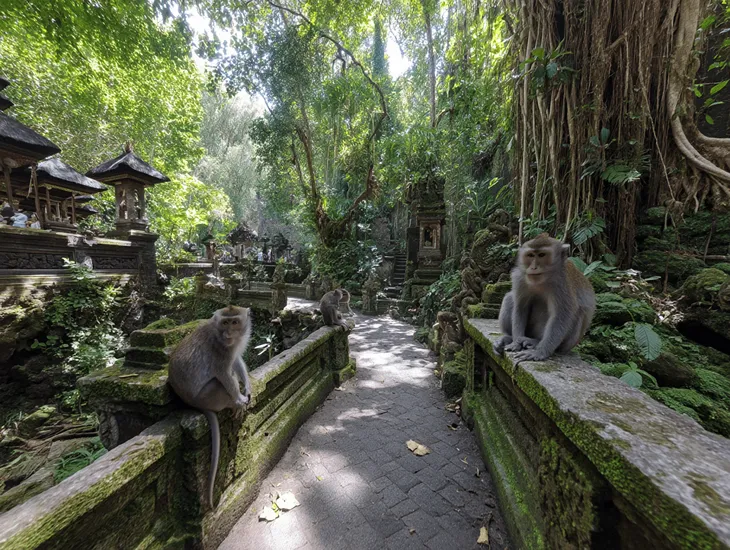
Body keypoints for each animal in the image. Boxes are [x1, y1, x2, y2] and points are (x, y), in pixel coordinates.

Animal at [167, 306, 252, 508]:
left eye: (234, 322)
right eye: (225, 322)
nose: (228, 333)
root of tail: (194, 404)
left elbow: (237, 360)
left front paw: (247, 386)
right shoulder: (220, 350)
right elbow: (224, 373)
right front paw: (239, 399)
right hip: (208, 397)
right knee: (219, 383)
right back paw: (234, 403)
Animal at [494, 233, 596, 362]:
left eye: (542, 255)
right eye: (531, 255)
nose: (533, 267)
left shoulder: (562, 284)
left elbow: (562, 315)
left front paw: (540, 352)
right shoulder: (520, 278)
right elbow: (521, 307)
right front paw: (515, 343)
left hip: (567, 344)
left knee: (579, 312)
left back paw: (535, 342)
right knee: (509, 298)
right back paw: (508, 338)